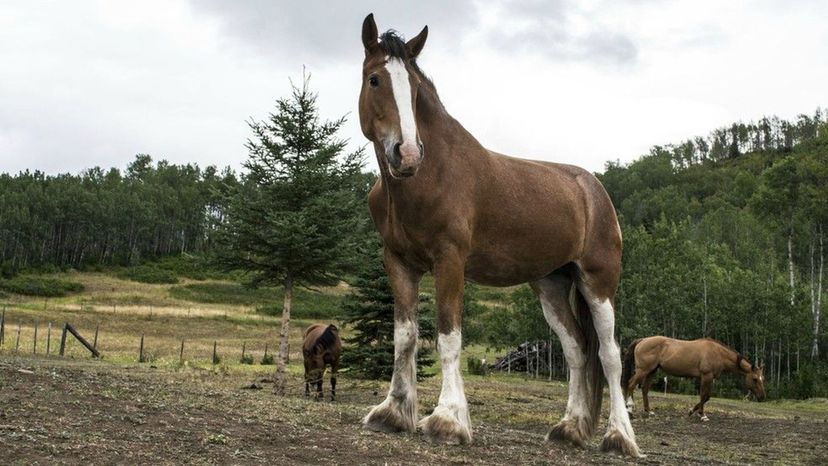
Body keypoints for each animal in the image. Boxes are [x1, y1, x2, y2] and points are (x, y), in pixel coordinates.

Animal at [358, 13, 640, 456]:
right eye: (374, 79)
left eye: (415, 89)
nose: (407, 153)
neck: (429, 176)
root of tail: (594, 190)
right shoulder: (398, 262)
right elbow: (404, 336)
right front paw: (392, 412)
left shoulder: (450, 261)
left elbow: (448, 338)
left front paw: (447, 420)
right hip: (552, 285)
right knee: (577, 351)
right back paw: (570, 428)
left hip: (599, 282)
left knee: (610, 355)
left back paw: (619, 437)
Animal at [624, 334, 768, 422]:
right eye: (755, 379)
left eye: (763, 379)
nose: (762, 397)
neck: (718, 353)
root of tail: (642, 340)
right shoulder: (706, 376)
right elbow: (704, 396)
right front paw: (701, 415)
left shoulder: (710, 378)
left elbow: (706, 397)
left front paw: (693, 412)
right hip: (643, 370)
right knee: (631, 384)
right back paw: (629, 409)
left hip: (651, 371)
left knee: (644, 389)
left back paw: (649, 412)